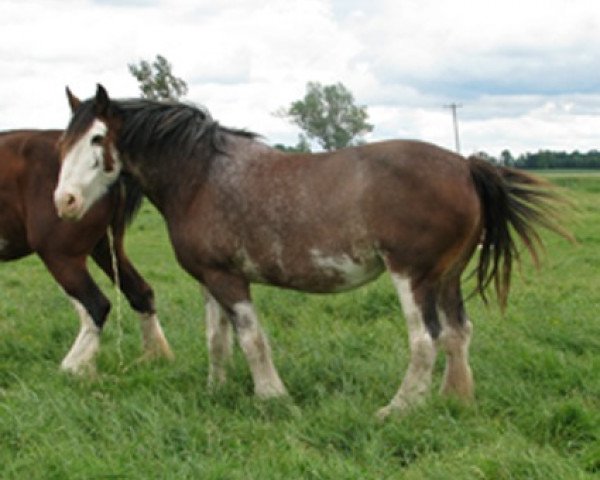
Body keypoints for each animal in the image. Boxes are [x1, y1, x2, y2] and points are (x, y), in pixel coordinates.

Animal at [0, 128, 173, 376]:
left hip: (61, 256)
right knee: (141, 293)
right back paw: (155, 356)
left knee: (97, 305)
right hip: (107, 249)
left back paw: (73, 367)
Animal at [52, 85, 568, 416]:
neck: (202, 177)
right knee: (459, 335)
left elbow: (252, 340)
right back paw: (454, 400)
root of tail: (465, 166)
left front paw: (272, 397)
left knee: (426, 341)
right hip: (447, 277)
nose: (65, 202)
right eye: (62, 142)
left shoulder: (229, 280)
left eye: (97, 138)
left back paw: (398, 409)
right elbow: (217, 340)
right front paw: (216, 392)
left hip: (413, 277)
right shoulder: (209, 279)